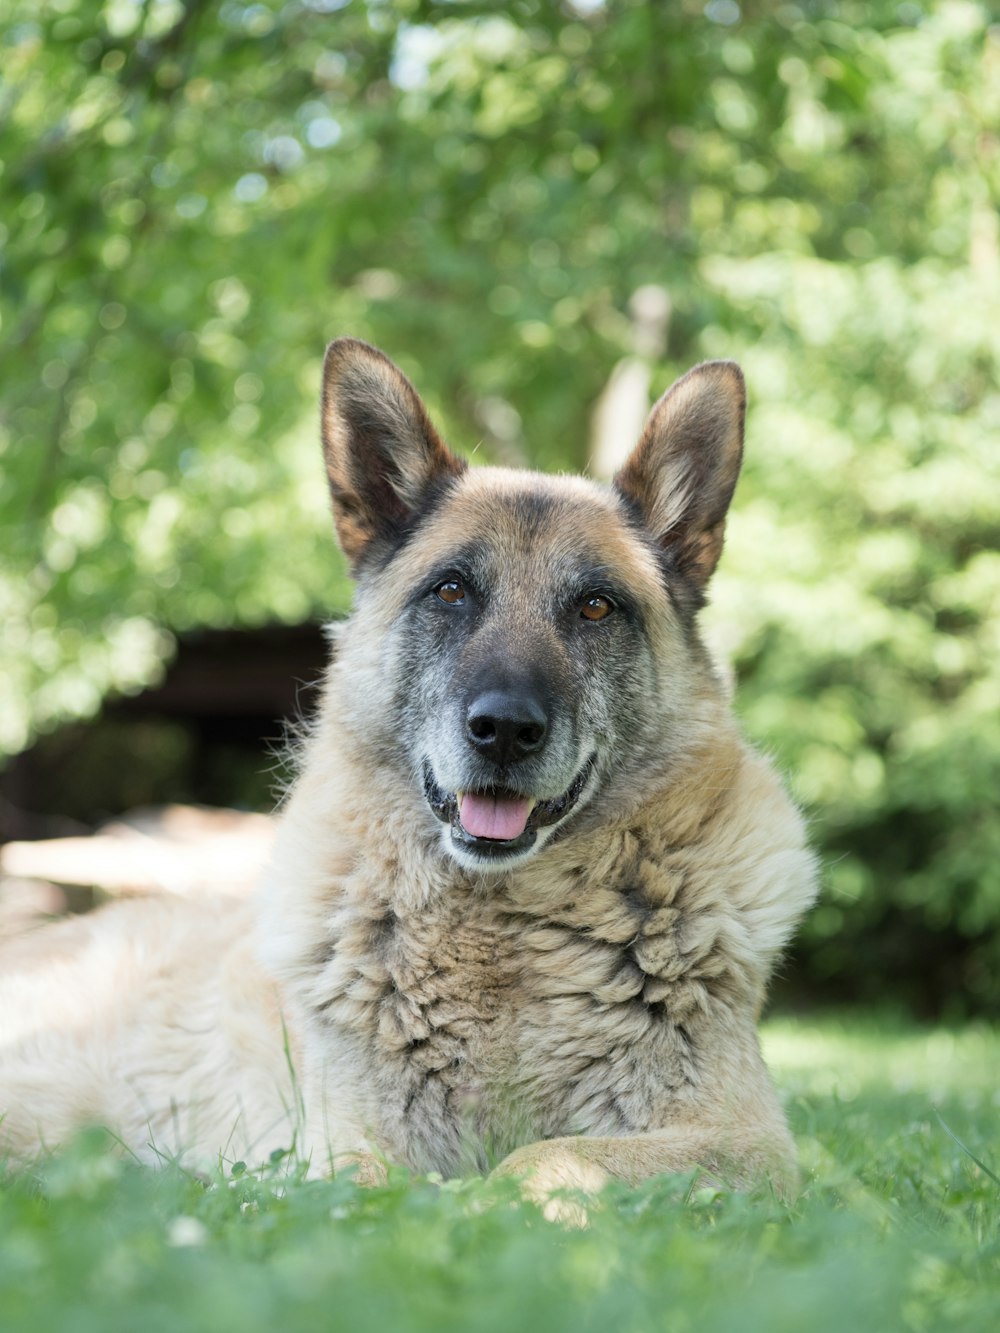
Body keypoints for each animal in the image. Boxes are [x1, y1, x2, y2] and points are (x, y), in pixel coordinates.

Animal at [0, 343, 816, 1199]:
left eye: (595, 606)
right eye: (451, 590)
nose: (504, 731)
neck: (502, 928)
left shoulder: (748, 1143)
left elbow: (546, 1155)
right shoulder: (335, 1146)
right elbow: (379, 1181)